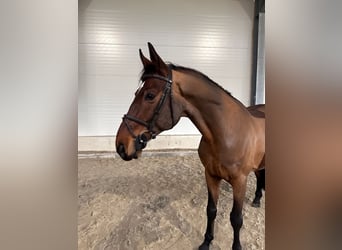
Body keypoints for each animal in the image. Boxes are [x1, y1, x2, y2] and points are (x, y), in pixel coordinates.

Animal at [116, 42, 266, 249]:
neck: (224, 135)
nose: (121, 145)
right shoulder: (211, 176)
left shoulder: (239, 182)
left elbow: (236, 219)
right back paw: (257, 199)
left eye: (150, 95)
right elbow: (211, 210)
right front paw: (206, 242)